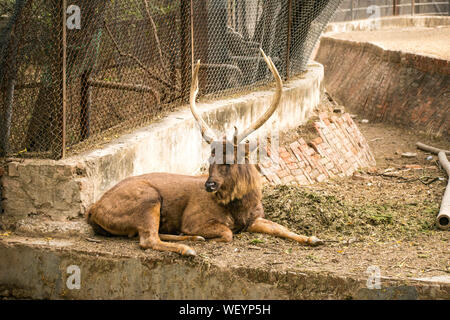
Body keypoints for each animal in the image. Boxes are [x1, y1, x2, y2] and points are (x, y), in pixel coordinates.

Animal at [85, 48, 324, 256]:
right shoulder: (195, 219)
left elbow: (280, 228)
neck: (240, 207)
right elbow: (227, 233)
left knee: (146, 235)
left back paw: (191, 240)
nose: (209, 185)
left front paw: (313, 238)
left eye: (229, 160)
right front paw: (209, 237)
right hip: (147, 199)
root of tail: (93, 209)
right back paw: (188, 248)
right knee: (148, 239)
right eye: (209, 160)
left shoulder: (255, 218)